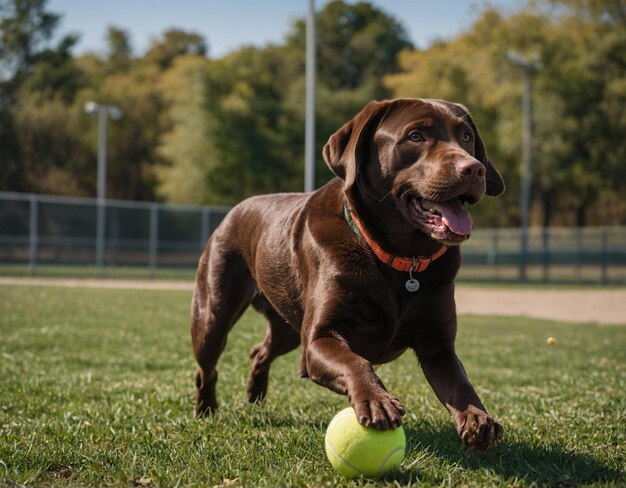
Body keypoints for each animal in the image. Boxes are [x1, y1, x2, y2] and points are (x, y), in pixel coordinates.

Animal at [193, 98, 504, 450]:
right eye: (415, 136)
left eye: (466, 137)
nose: (474, 169)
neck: (399, 258)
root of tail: (234, 209)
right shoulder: (319, 338)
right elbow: (355, 361)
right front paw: (376, 401)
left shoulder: (438, 346)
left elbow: (460, 384)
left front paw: (478, 419)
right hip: (213, 314)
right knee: (206, 367)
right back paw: (206, 410)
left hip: (288, 327)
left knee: (261, 351)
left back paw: (255, 393)